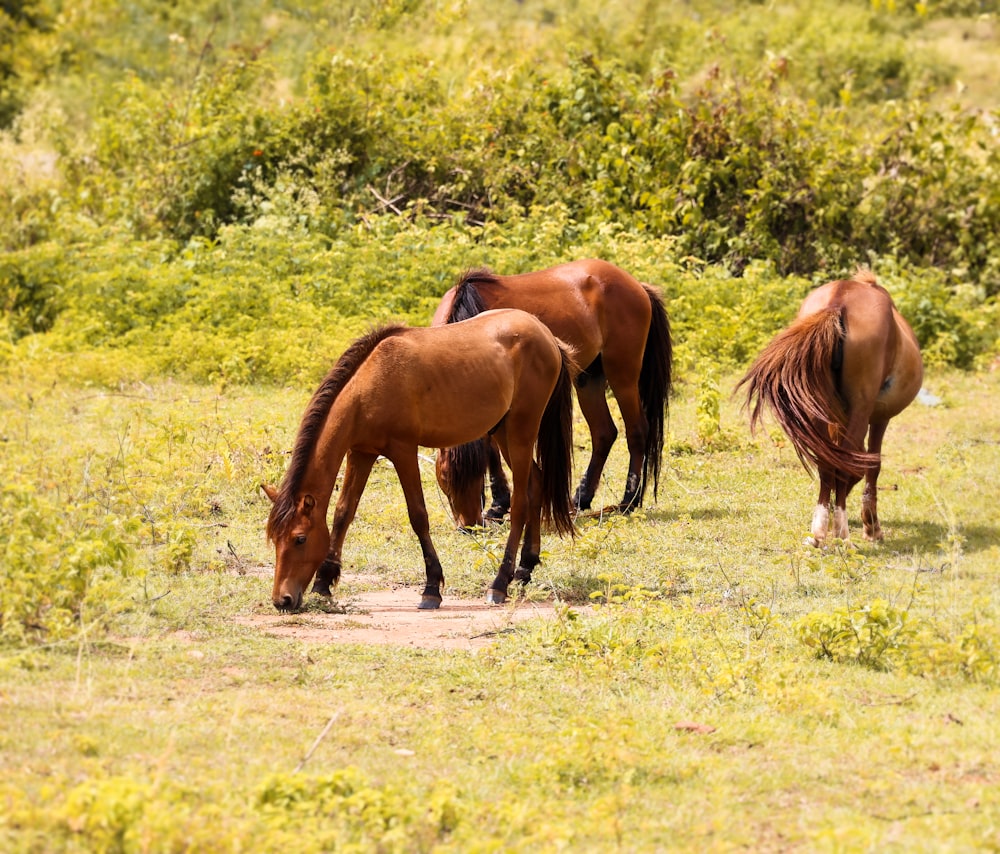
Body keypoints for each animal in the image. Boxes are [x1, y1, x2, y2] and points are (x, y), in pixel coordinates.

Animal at [264, 310, 580, 612]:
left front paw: (431, 588)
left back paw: (500, 582)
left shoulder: (402, 451)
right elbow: (343, 513)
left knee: (520, 503)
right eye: (274, 538)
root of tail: (547, 336)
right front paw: (324, 581)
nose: (283, 600)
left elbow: (418, 516)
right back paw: (525, 567)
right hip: (503, 432)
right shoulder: (361, 452)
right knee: (536, 484)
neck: (369, 385)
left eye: (300, 538)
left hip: (520, 432)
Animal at [432, 260, 672, 528]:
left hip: (623, 376)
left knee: (637, 431)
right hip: (588, 379)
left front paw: (499, 504)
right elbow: (491, 452)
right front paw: (498, 504)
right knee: (604, 433)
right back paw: (581, 497)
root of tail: (638, 286)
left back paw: (629, 500)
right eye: (445, 478)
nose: (469, 526)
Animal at [736, 270, 920, 544]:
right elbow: (871, 465)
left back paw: (819, 530)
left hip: (818, 408)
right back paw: (841, 532)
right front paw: (871, 526)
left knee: (827, 461)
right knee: (845, 462)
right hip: (861, 408)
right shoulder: (879, 417)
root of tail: (838, 301)